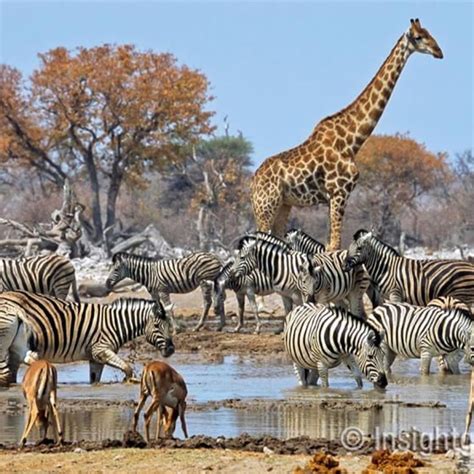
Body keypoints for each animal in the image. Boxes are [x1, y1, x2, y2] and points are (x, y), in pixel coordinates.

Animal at [0, 290, 174, 386]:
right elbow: (127, 368)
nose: (171, 350)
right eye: (157, 326)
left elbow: (95, 380)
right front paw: (128, 381)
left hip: (16, 346)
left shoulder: (96, 358)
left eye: (169, 326)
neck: (116, 323)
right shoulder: (101, 350)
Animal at [254, 18, 442, 250]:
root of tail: (252, 182)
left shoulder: (332, 199)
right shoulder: (339, 193)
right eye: (418, 37)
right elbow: (335, 245)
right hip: (265, 208)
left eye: (429, 33)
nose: (439, 51)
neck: (352, 141)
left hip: (283, 205)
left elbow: (329, 245)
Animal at [344, 231, 474, 308]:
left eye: (359, 248)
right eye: (349, 248)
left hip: (464, 297)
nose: (344, 265)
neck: (385, 268)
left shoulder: (395, 294)